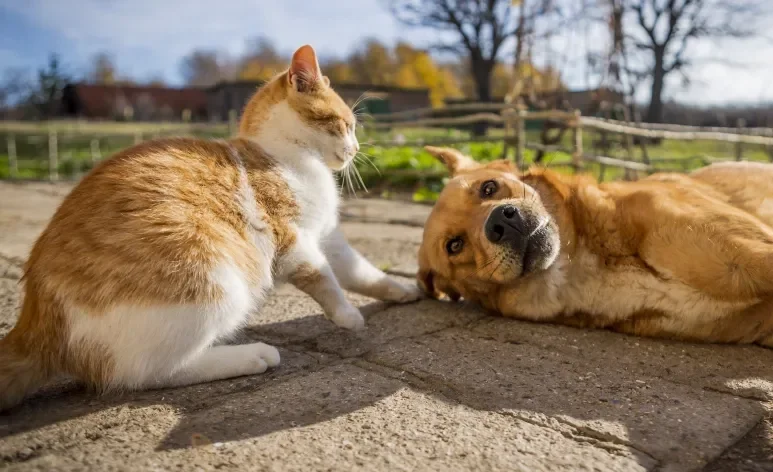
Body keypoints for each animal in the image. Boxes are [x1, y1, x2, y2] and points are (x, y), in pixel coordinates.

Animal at [0, 46, 422, 412]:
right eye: (345, 125)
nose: (355, 149)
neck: (290, 157)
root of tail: (35, 319)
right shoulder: (293, 240)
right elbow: (323, 279)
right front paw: (348, 316)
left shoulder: (326, 236)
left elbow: (359, 271)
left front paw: (401, 290)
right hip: (214, 281)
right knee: (143, 373)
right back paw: (252, 355)